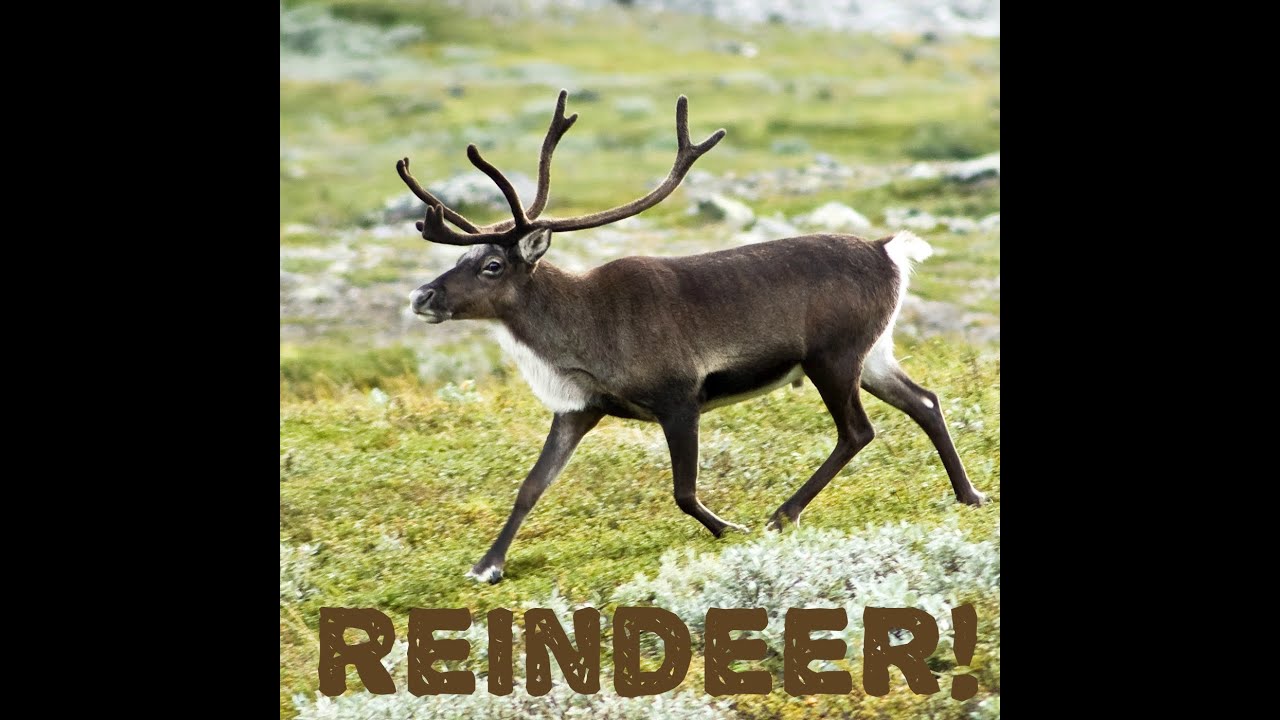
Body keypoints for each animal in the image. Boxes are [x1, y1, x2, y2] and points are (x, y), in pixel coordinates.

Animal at [399, 90, 986, 584]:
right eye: (464, 258)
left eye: (492, 265)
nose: (422, 296)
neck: (579, 333)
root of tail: (889, 250)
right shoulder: (579, 408)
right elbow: (530, 486)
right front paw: (487, 565)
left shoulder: (679, 397)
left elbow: (683, 491)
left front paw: (731, 529)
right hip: (874, 354)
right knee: (925, 401)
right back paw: (969, 494)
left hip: (833, 357)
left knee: (857, 431)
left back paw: (782, 514)